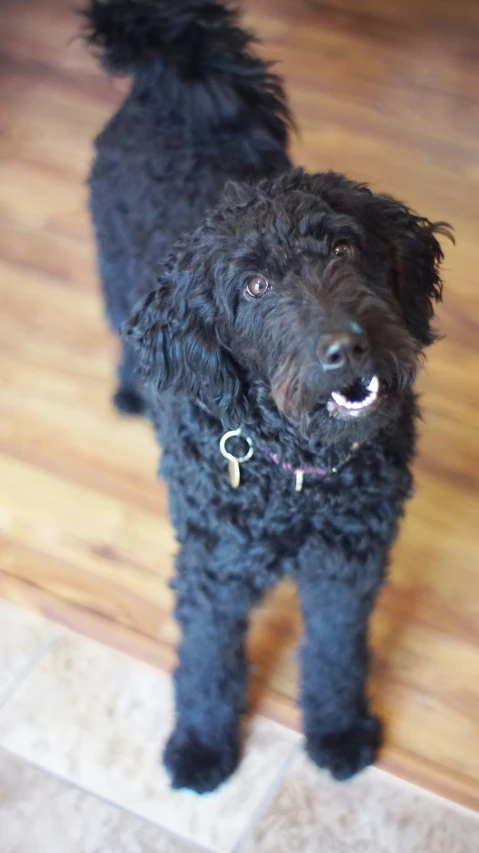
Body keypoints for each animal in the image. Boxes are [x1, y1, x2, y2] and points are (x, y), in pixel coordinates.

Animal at [85, 0, 454, 792]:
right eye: (253, 285)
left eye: (343, 247)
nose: (346, 346)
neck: (296, 474)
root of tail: (171, 74)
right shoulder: (214, 567)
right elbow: (208, 660)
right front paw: (200, 744)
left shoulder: (347, 565)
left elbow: (336, 654)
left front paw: (338, 730)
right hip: (109, 260)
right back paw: (132, 390)